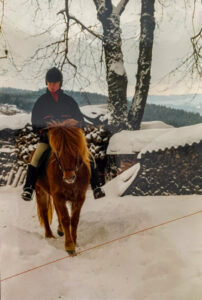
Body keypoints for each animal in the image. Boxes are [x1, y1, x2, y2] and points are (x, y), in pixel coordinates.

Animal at [35, 119, 90, 255]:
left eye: (75, 148)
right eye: (58, 151)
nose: (69, 177)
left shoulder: (79, 197)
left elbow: (74, 219)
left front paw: (74, 242)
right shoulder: (58, 196)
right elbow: (65, 218)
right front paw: (69, 246)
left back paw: (61, 231)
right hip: (41, 191)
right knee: (44, 212)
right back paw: (49, 236)